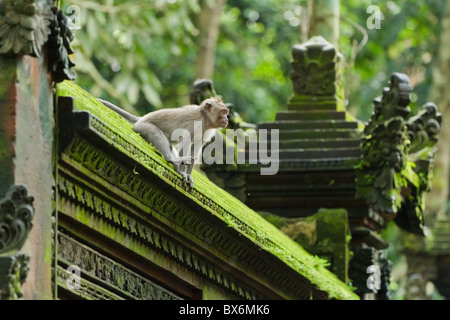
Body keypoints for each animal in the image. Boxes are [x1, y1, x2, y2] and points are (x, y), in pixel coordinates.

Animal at [99, 97, 230, 188]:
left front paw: (189, 175)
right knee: (157, 134)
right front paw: (183, 173)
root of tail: (141, 119)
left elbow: (195, 148)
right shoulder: (196, 122)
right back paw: (171, 160)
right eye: (223, 112)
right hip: (143, 127)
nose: (227, 119)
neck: (205, 118)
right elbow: (186, 140)